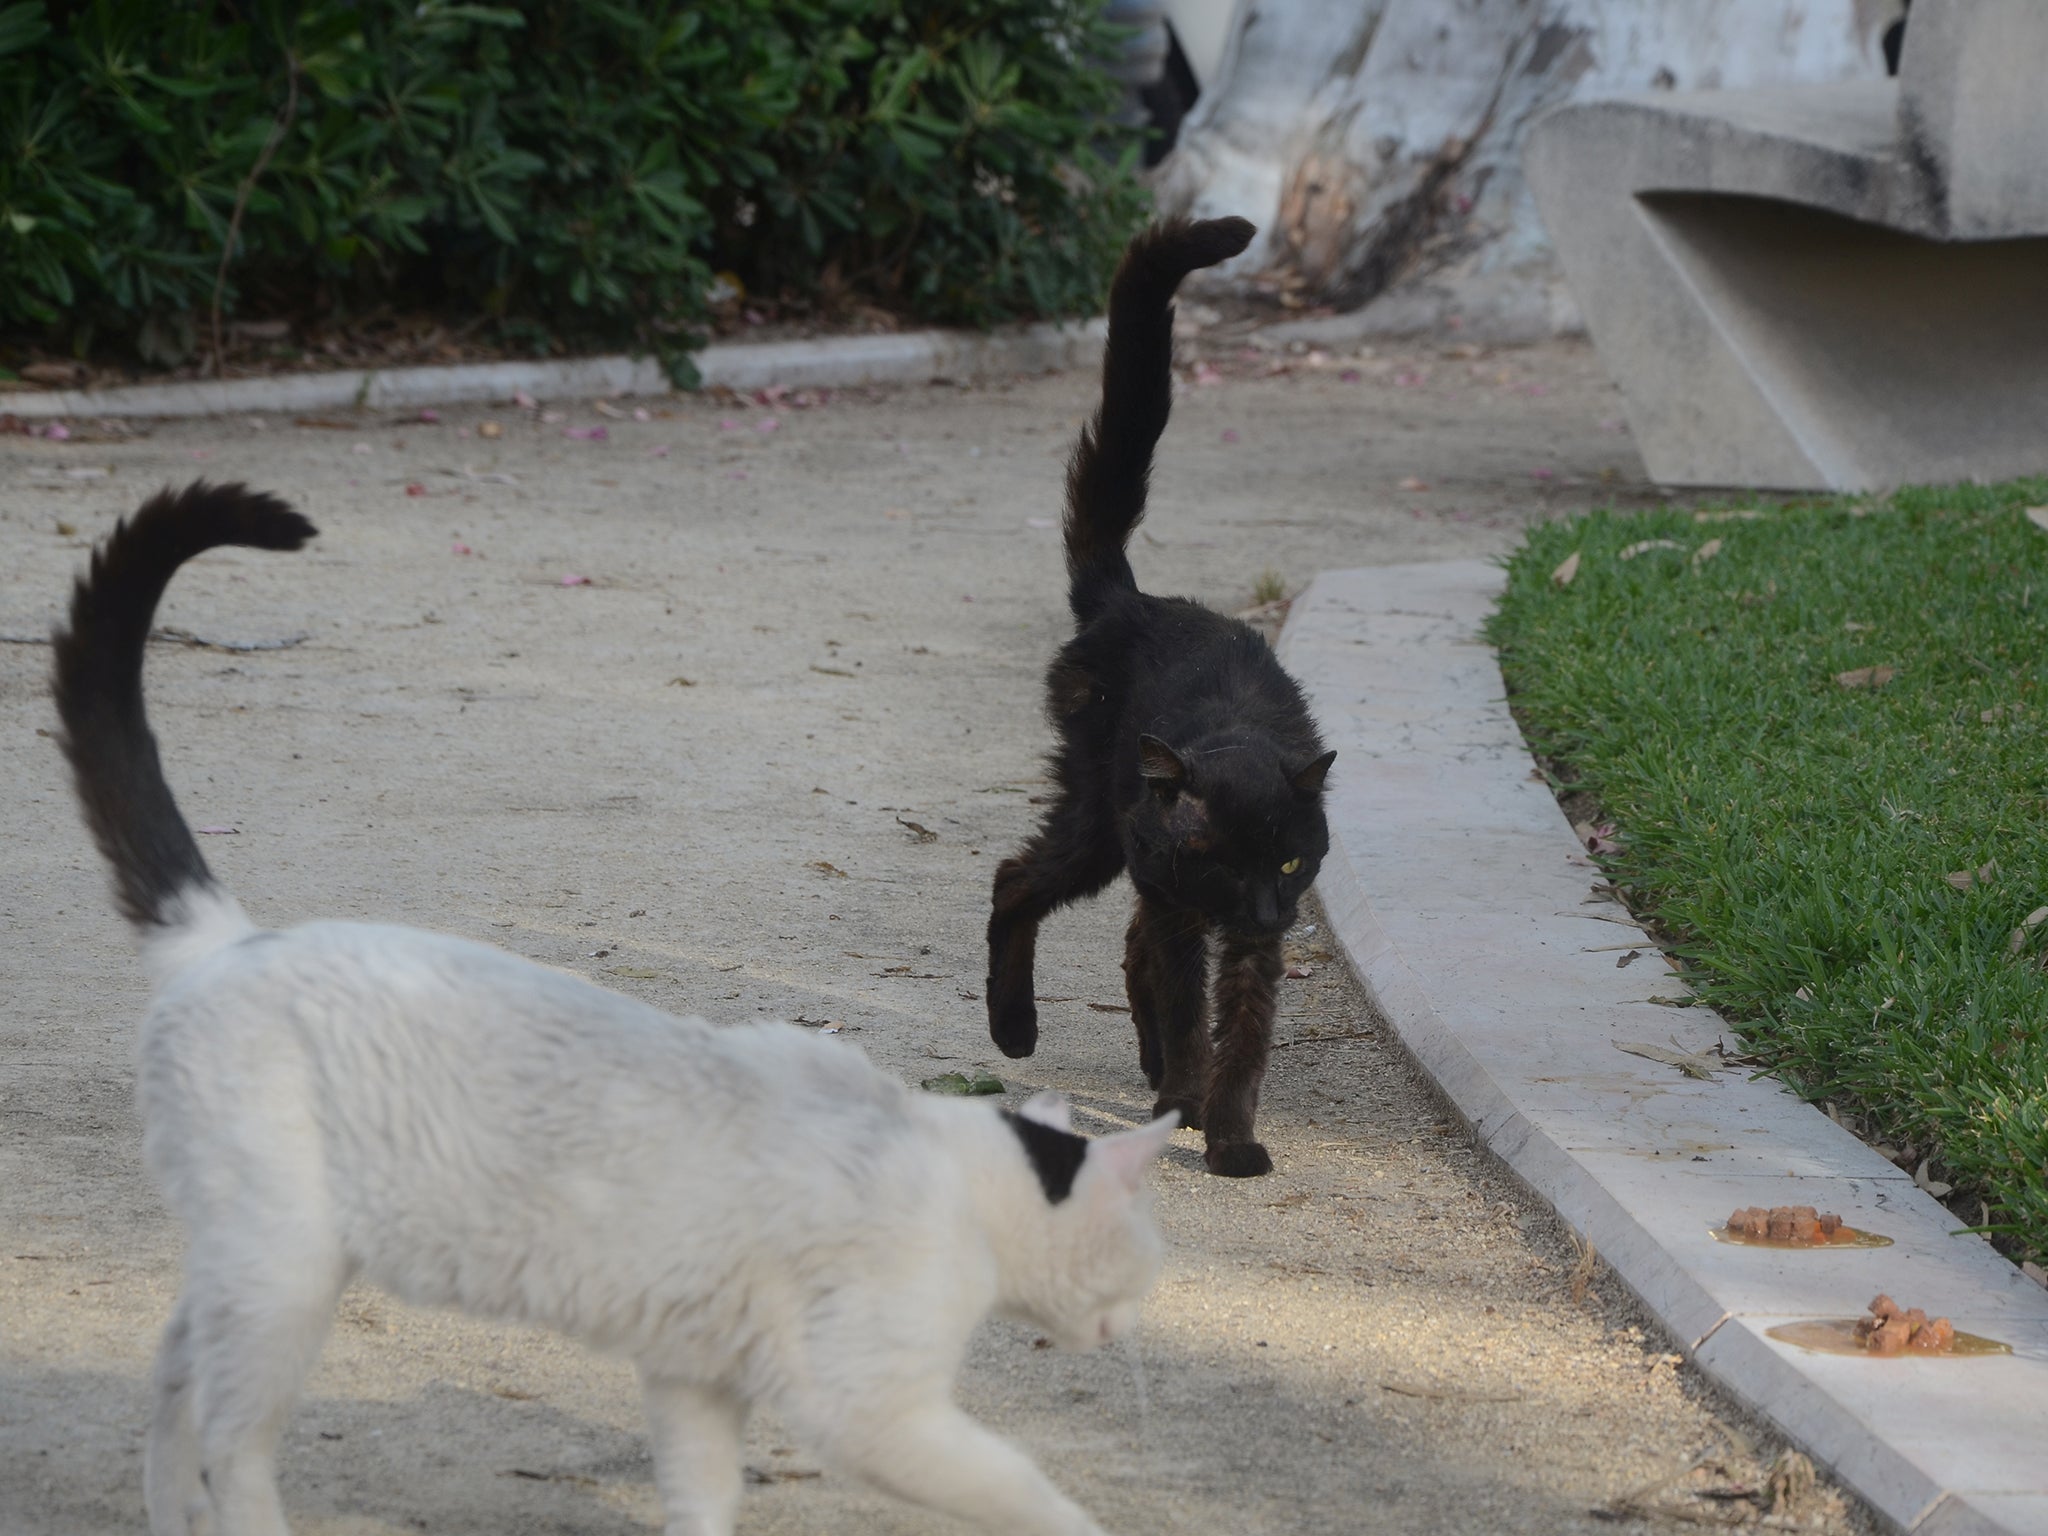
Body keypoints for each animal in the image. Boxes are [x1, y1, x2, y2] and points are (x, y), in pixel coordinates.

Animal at [51, 487, 1171, 1536]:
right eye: (1143, 1265)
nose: (1132, 1329)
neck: (958, 1177)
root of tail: (227, 934)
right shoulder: (865, 1410)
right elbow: (1025, 1490)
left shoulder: (694, 1379)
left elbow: (703, 1500)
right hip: (286, 1273)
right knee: (231, 1441)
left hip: (244, 1274)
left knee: (171, 1378)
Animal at [987, 217, 1335, 1179]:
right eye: (1224, 861)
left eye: (1288, 865)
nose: (1266, 906)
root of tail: (1128, 600)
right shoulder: (1184, 909)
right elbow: (1186, 1014)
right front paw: (1185, 1099)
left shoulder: (1254, 947)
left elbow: (1242, 1038)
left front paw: (1230, 1135)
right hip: (1099, 827)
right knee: (1014, 879)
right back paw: (1014, 1029)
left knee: (1123, 943)